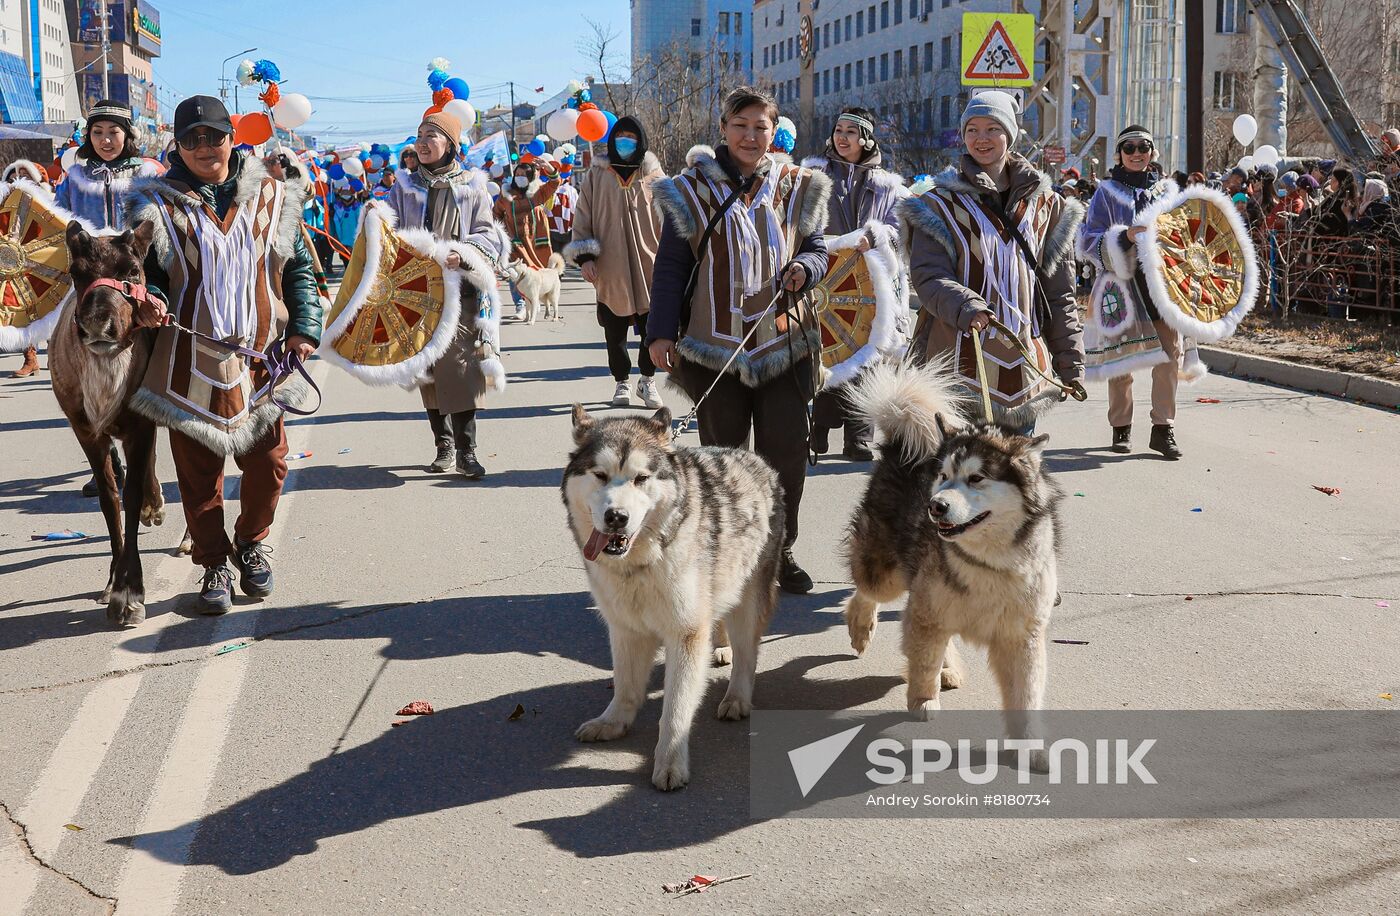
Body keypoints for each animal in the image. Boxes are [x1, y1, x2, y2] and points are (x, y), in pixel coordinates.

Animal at [840, 358, 1058, 756]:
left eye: (976, 478)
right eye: (943, 476)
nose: (935, 506)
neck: (987, 560)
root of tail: (903, 445)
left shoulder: (1022, 633)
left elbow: (1026, 692)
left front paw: (1031, 746)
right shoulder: (927, 611)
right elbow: (923, 658)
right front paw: (924, 699)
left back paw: (948, 667)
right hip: (888, 574)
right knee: (866, 591)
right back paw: (861, 627)